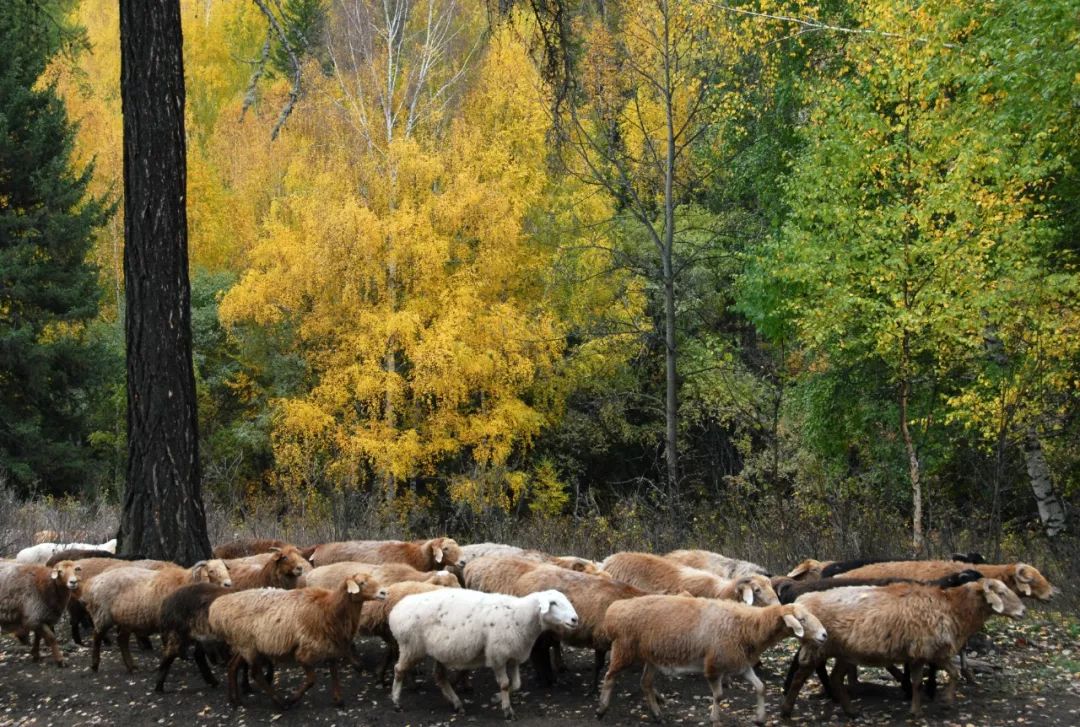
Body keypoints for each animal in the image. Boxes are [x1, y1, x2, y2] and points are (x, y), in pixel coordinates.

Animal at [206, 574, 388, 704]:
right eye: (361, 582)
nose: (384, 592)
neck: (329, 609)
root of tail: (216, 608)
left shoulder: (330, 646)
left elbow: (334, 672)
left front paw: (338, 699)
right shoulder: (304, 653)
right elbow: (312, 680)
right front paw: (294, 698)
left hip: (244, 645)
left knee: (232, 666)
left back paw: (234, 700)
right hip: (248, 646)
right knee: (256, 674)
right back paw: (280, 702)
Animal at [390, 587, 578, 717]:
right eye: (553, 603)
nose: (575, 619)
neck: (520, 616)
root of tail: (396, 610)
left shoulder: (513, 654)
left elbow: (517, 684)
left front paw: (496, 698)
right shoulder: (498, 655)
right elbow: (505, 684)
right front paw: (507, 710)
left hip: (438, 651)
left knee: (440, 677)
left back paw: (457, 703)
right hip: (411, 646)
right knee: (399, 670)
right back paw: (396, 702)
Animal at [600, 591, 825, 721]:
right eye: (802, 620)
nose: (824, 635)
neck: (748, 627)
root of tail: (613, 611)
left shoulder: (740, 664)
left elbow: (761, 687)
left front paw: (760, 718)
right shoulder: (713, 666)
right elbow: (719, 696)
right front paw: (714, 719)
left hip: (651, 656)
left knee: (645, 683)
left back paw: (658, 715)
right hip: (623, 649)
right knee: (609, 676)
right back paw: (602, 709)